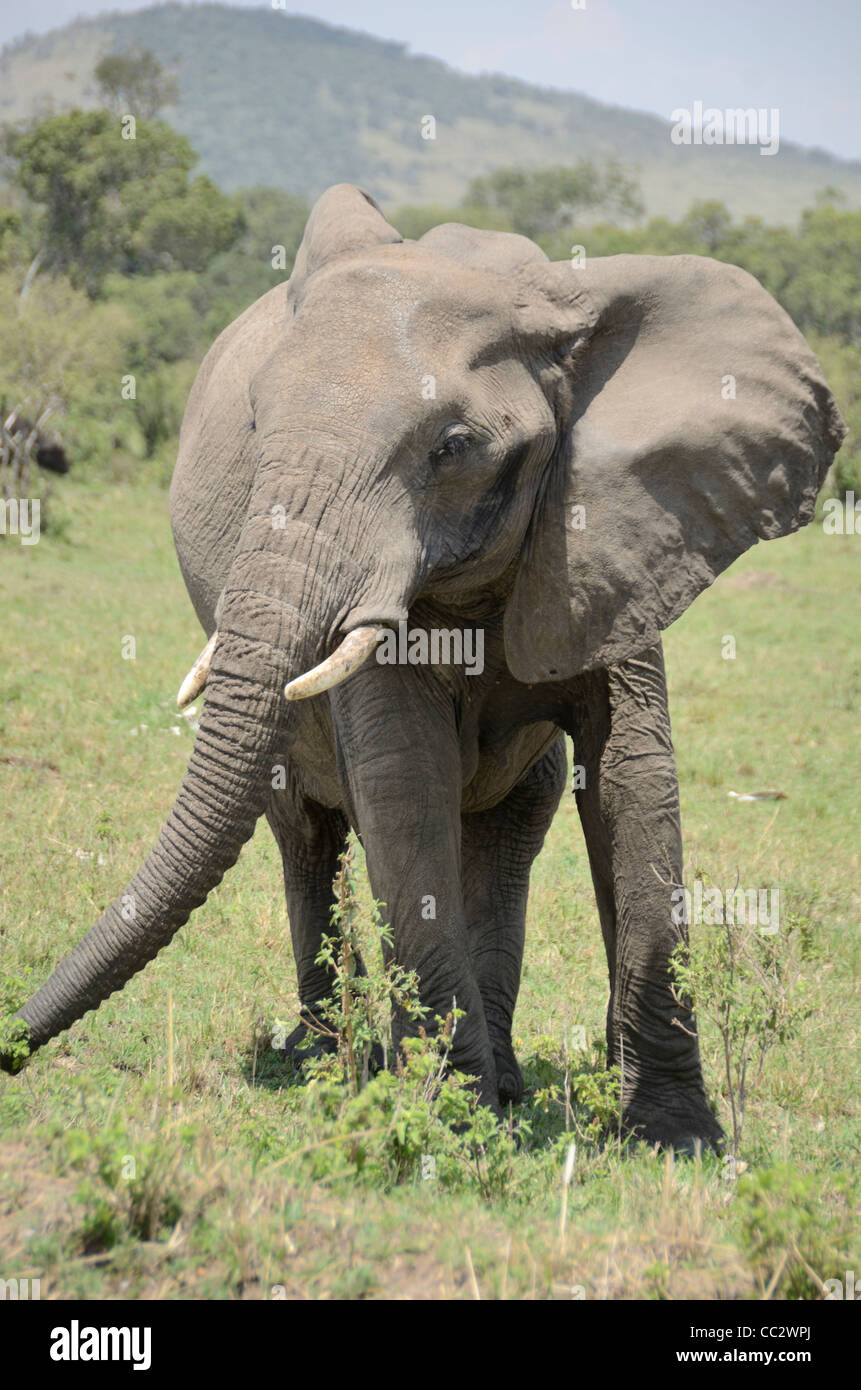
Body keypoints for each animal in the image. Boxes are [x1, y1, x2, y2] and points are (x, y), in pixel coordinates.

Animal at [1, 184, 851, 1145]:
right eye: (254, 426)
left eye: (452, 448)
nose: (10, 1044)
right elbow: (405, 779)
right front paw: (454, 1124)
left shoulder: (623, 533)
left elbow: (633, 777)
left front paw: (673, 1139)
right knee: (306, 828)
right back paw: (333, 1061)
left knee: (513, 819)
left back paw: (500, 1079)